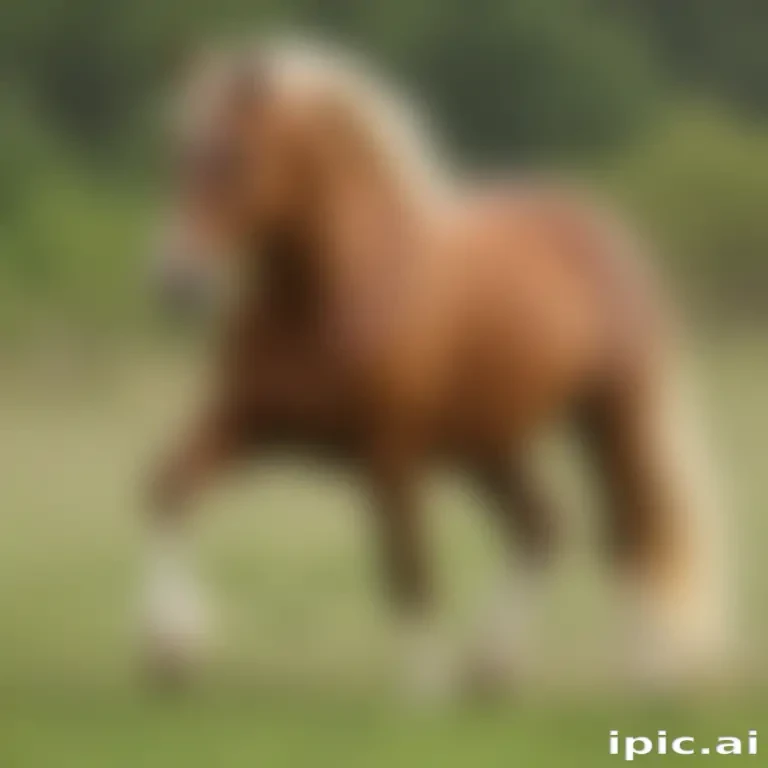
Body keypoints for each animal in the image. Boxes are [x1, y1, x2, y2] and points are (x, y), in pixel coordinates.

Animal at [145, 37, 728, 695]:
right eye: (176, 155)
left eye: (234, 157)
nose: (175, 281)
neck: (330, 296)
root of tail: (602, 232)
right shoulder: (246, 423)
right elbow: (167, 491)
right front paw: (172, 649)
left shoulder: (390, 452)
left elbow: (408, 567)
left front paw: (422, 692)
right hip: (491, 442)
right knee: (540, 527)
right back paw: (490, 670)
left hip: (611, 419)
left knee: (630, 534)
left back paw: (649, 677)